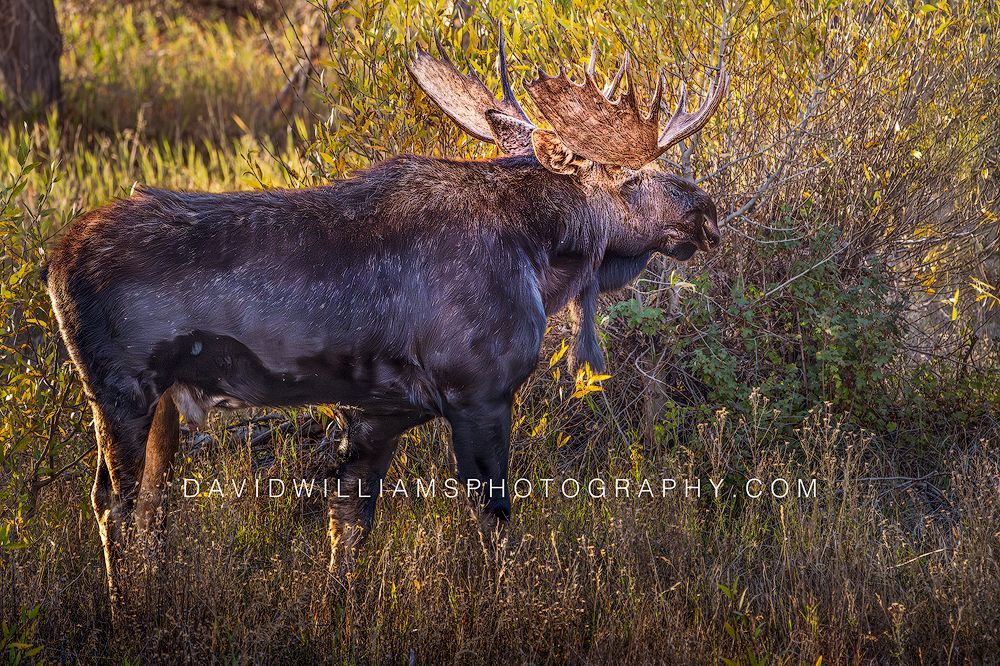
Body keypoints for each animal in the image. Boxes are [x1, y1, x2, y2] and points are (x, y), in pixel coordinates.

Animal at [45, 28, 727, 607]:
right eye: (633, 176)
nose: (708, 213)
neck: (538, 255)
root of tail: (54, 261)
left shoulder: (380, 410)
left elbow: (349, 526)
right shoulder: (478, 391)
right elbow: (494, 521)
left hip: (162, 402)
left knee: (152, 503)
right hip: (120, 390)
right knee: (112, 502)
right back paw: (121, 611)